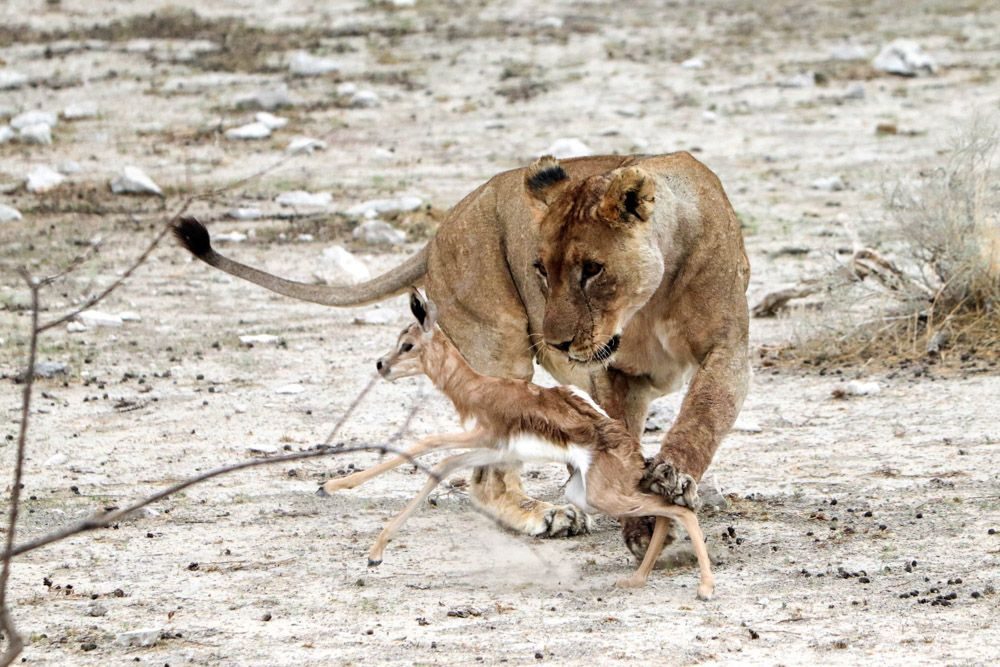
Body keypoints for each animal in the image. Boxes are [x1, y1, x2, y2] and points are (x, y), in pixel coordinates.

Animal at [172, 152, 750, 558]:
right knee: (485, 476)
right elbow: (626, 438)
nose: (557, 342)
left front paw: (670, 481)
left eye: (592, 269)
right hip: (499, 352)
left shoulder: (727, 349)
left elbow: (703, 413)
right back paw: (546, 517)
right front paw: (644, 520)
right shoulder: (614, 372)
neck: (649, 298)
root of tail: (442, 227)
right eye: (541, 269)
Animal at [318, 290, 715, 599]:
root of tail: (636, 458)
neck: (476, 388)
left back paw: (705, 588)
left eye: (408, 344)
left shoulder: (482, 437)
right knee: (668, 507)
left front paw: (337, 494)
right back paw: (636, 579)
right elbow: (443, 464)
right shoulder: (493, 449)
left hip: (604, 496)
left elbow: (427, 445)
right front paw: (370, 547)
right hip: (585, 495)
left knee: (679, 509)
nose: (381, 364)